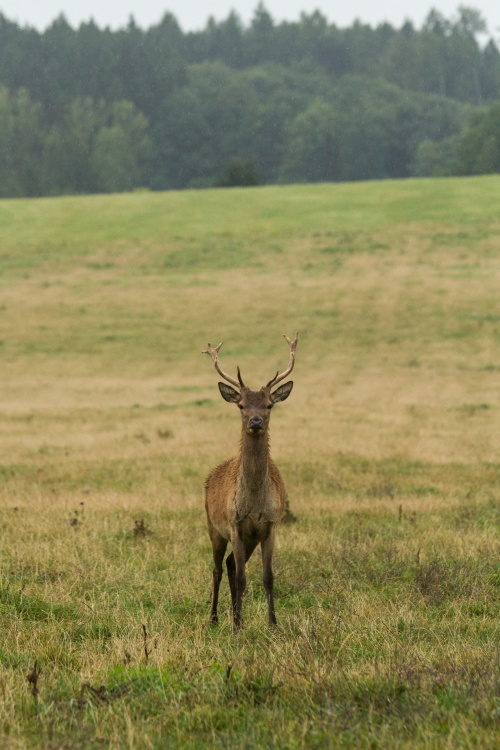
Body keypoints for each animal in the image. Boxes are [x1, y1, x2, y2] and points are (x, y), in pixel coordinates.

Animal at [202, 332, 296, 632]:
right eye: (241, 405)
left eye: (269, 405)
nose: (255, 422)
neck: (254, 503)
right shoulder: (234, 523)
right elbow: (243, 577)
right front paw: (236, 628)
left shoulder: (269, 525)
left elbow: (267, 576)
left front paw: (272, 623)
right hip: (213, 527)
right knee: (218, 568)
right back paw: (215, 618)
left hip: (247, 538)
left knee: (231, 564)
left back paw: (236, 615)